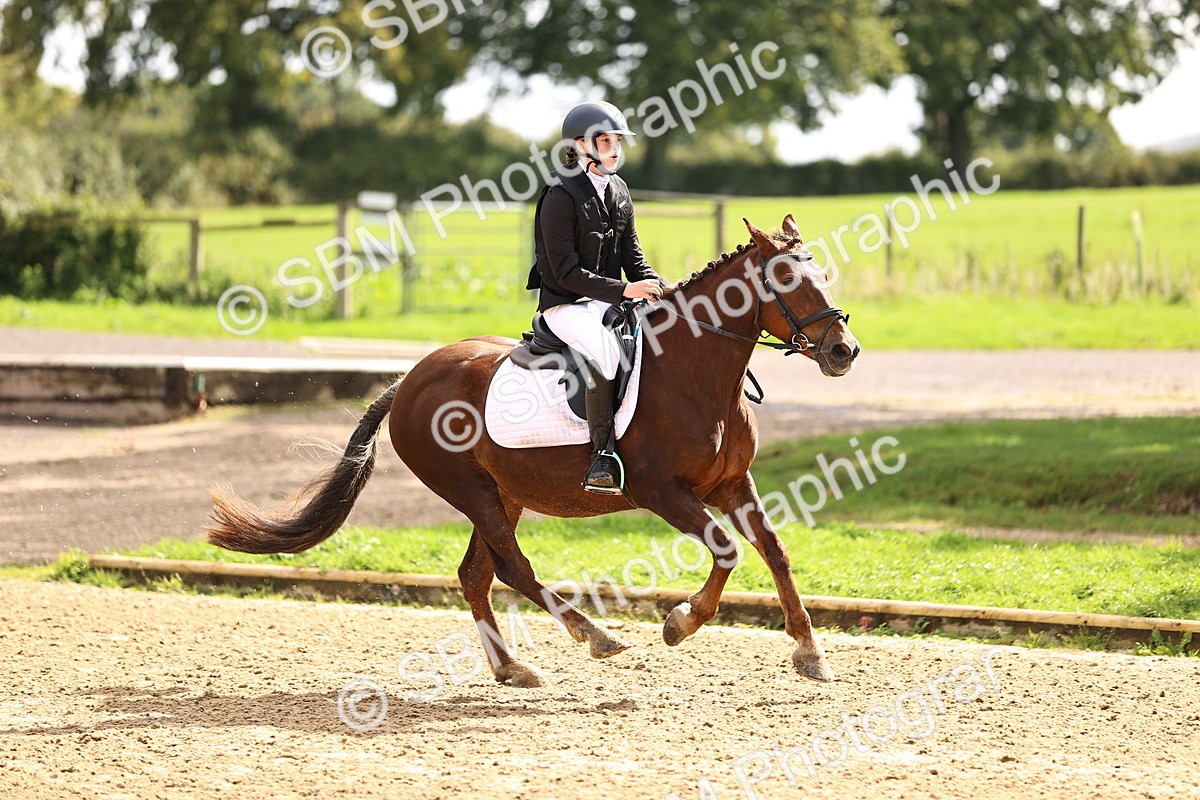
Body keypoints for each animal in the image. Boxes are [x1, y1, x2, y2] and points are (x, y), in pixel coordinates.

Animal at [207, 215, 861, 687]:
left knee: (476, 574)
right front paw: (679, 624)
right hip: (471, 490)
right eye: (787, 281)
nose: (843, 352)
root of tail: (408, 380)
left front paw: (809, 652)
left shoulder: (731, 484)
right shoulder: (661, 492)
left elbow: (775, 551)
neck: (696, 372)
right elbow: (727, 549)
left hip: (503, 491)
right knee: (509, 567)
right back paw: (595, 636)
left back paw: (511, 667)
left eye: (824, 277)